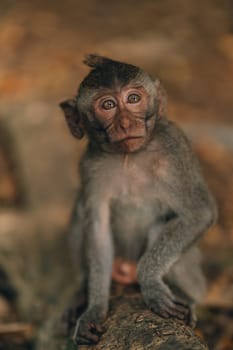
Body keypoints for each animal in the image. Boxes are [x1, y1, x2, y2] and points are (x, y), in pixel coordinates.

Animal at [59, 54, 217, 344]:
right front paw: (93, 310)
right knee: (80, 214)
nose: (125, 123)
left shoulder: (175, 149)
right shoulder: (89, 166)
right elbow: (97, 229)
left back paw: (187, 298)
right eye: (108, 105)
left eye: (133, 99)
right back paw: (80, 293)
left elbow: (199, 213)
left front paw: (152, 284)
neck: (129, 156)